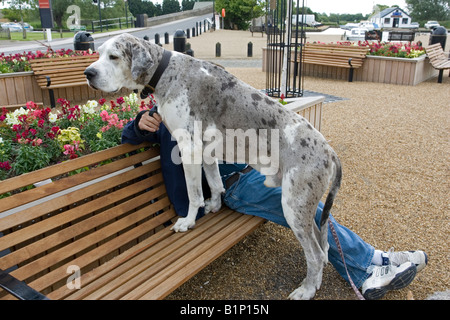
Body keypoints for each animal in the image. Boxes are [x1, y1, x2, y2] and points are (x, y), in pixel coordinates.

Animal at [84, 33, 342, 300]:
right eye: (98, 53)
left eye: (114, 56)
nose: (88, 73)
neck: (166, 70)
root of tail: (329, 151)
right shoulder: (207, 150)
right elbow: (215, 183)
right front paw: (215, 206)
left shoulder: (188, 148)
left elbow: (194, 193)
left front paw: (188, 221)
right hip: (304, 209)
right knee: (321, 245)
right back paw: (315, 283)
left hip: (294, 206)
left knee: (316, 254)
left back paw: (307, 289)